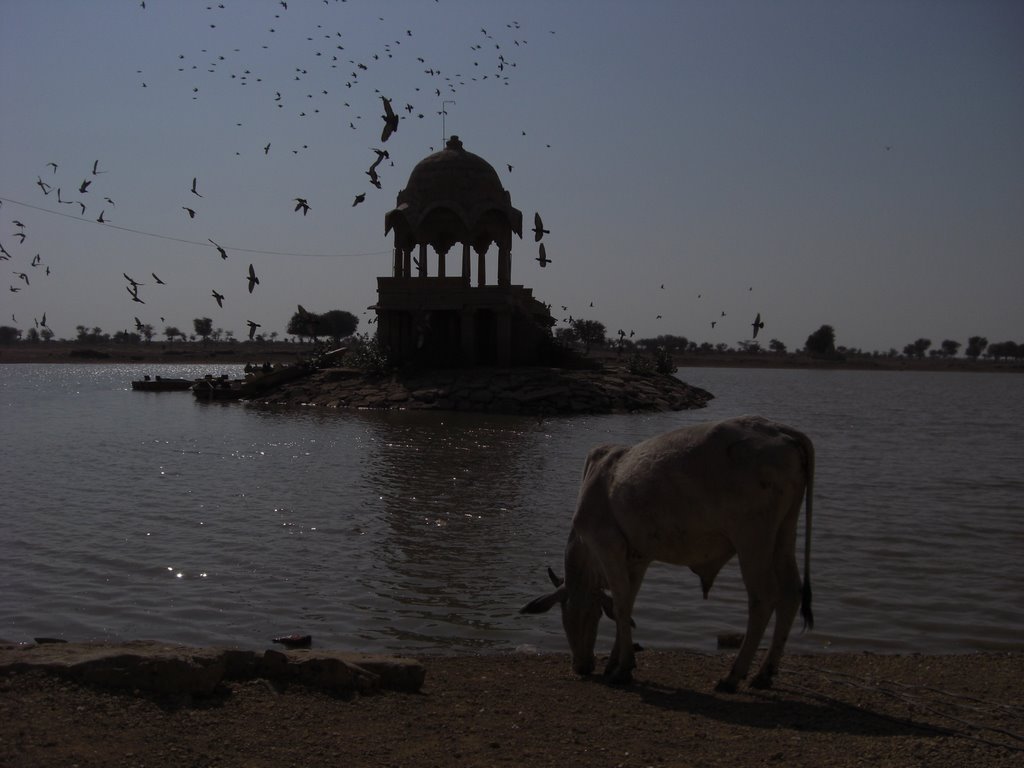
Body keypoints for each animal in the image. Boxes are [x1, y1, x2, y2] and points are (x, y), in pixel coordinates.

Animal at [524, 417, 811, 696]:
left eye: (574, 615)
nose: (581, 667)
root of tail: (779, 430)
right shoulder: (637, 559)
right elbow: (626, 605)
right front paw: (616, 663)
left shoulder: (607, 547)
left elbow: (620, 605)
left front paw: (622, 669)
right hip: (784, 531)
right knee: (790, 594)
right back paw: (764, 674)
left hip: (752, 537)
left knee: (763, 598)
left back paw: (732, 677)